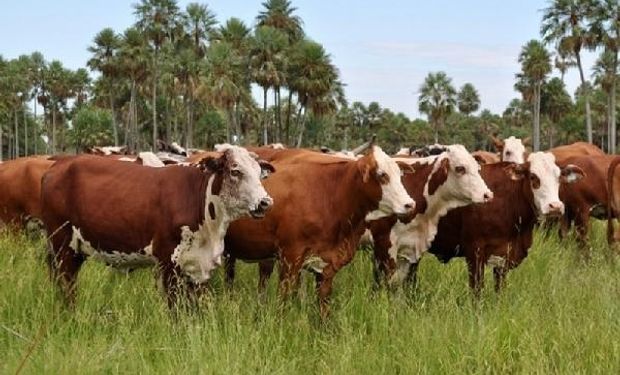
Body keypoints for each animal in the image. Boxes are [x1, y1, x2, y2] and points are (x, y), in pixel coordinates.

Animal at [41, 145, 274, 306]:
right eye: (235, 171)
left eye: (258, 173)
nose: (265, 202)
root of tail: (57, 166)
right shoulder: (169, 263)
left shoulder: (198, 267)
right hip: (63, 246)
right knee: (67, 286)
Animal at [220, 145, 414, 316]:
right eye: (382, 175)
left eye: (399, 175)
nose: (410, 204)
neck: (331, 196)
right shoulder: (290, 259)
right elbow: (283, 301)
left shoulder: (327, 267)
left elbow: (323, 307)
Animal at [428, 153, 584, 296]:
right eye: (533, 177)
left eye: (559, 178)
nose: (555, 206)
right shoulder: (474, 252)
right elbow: (477, 292)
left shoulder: (504, 256)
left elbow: (500, 290)